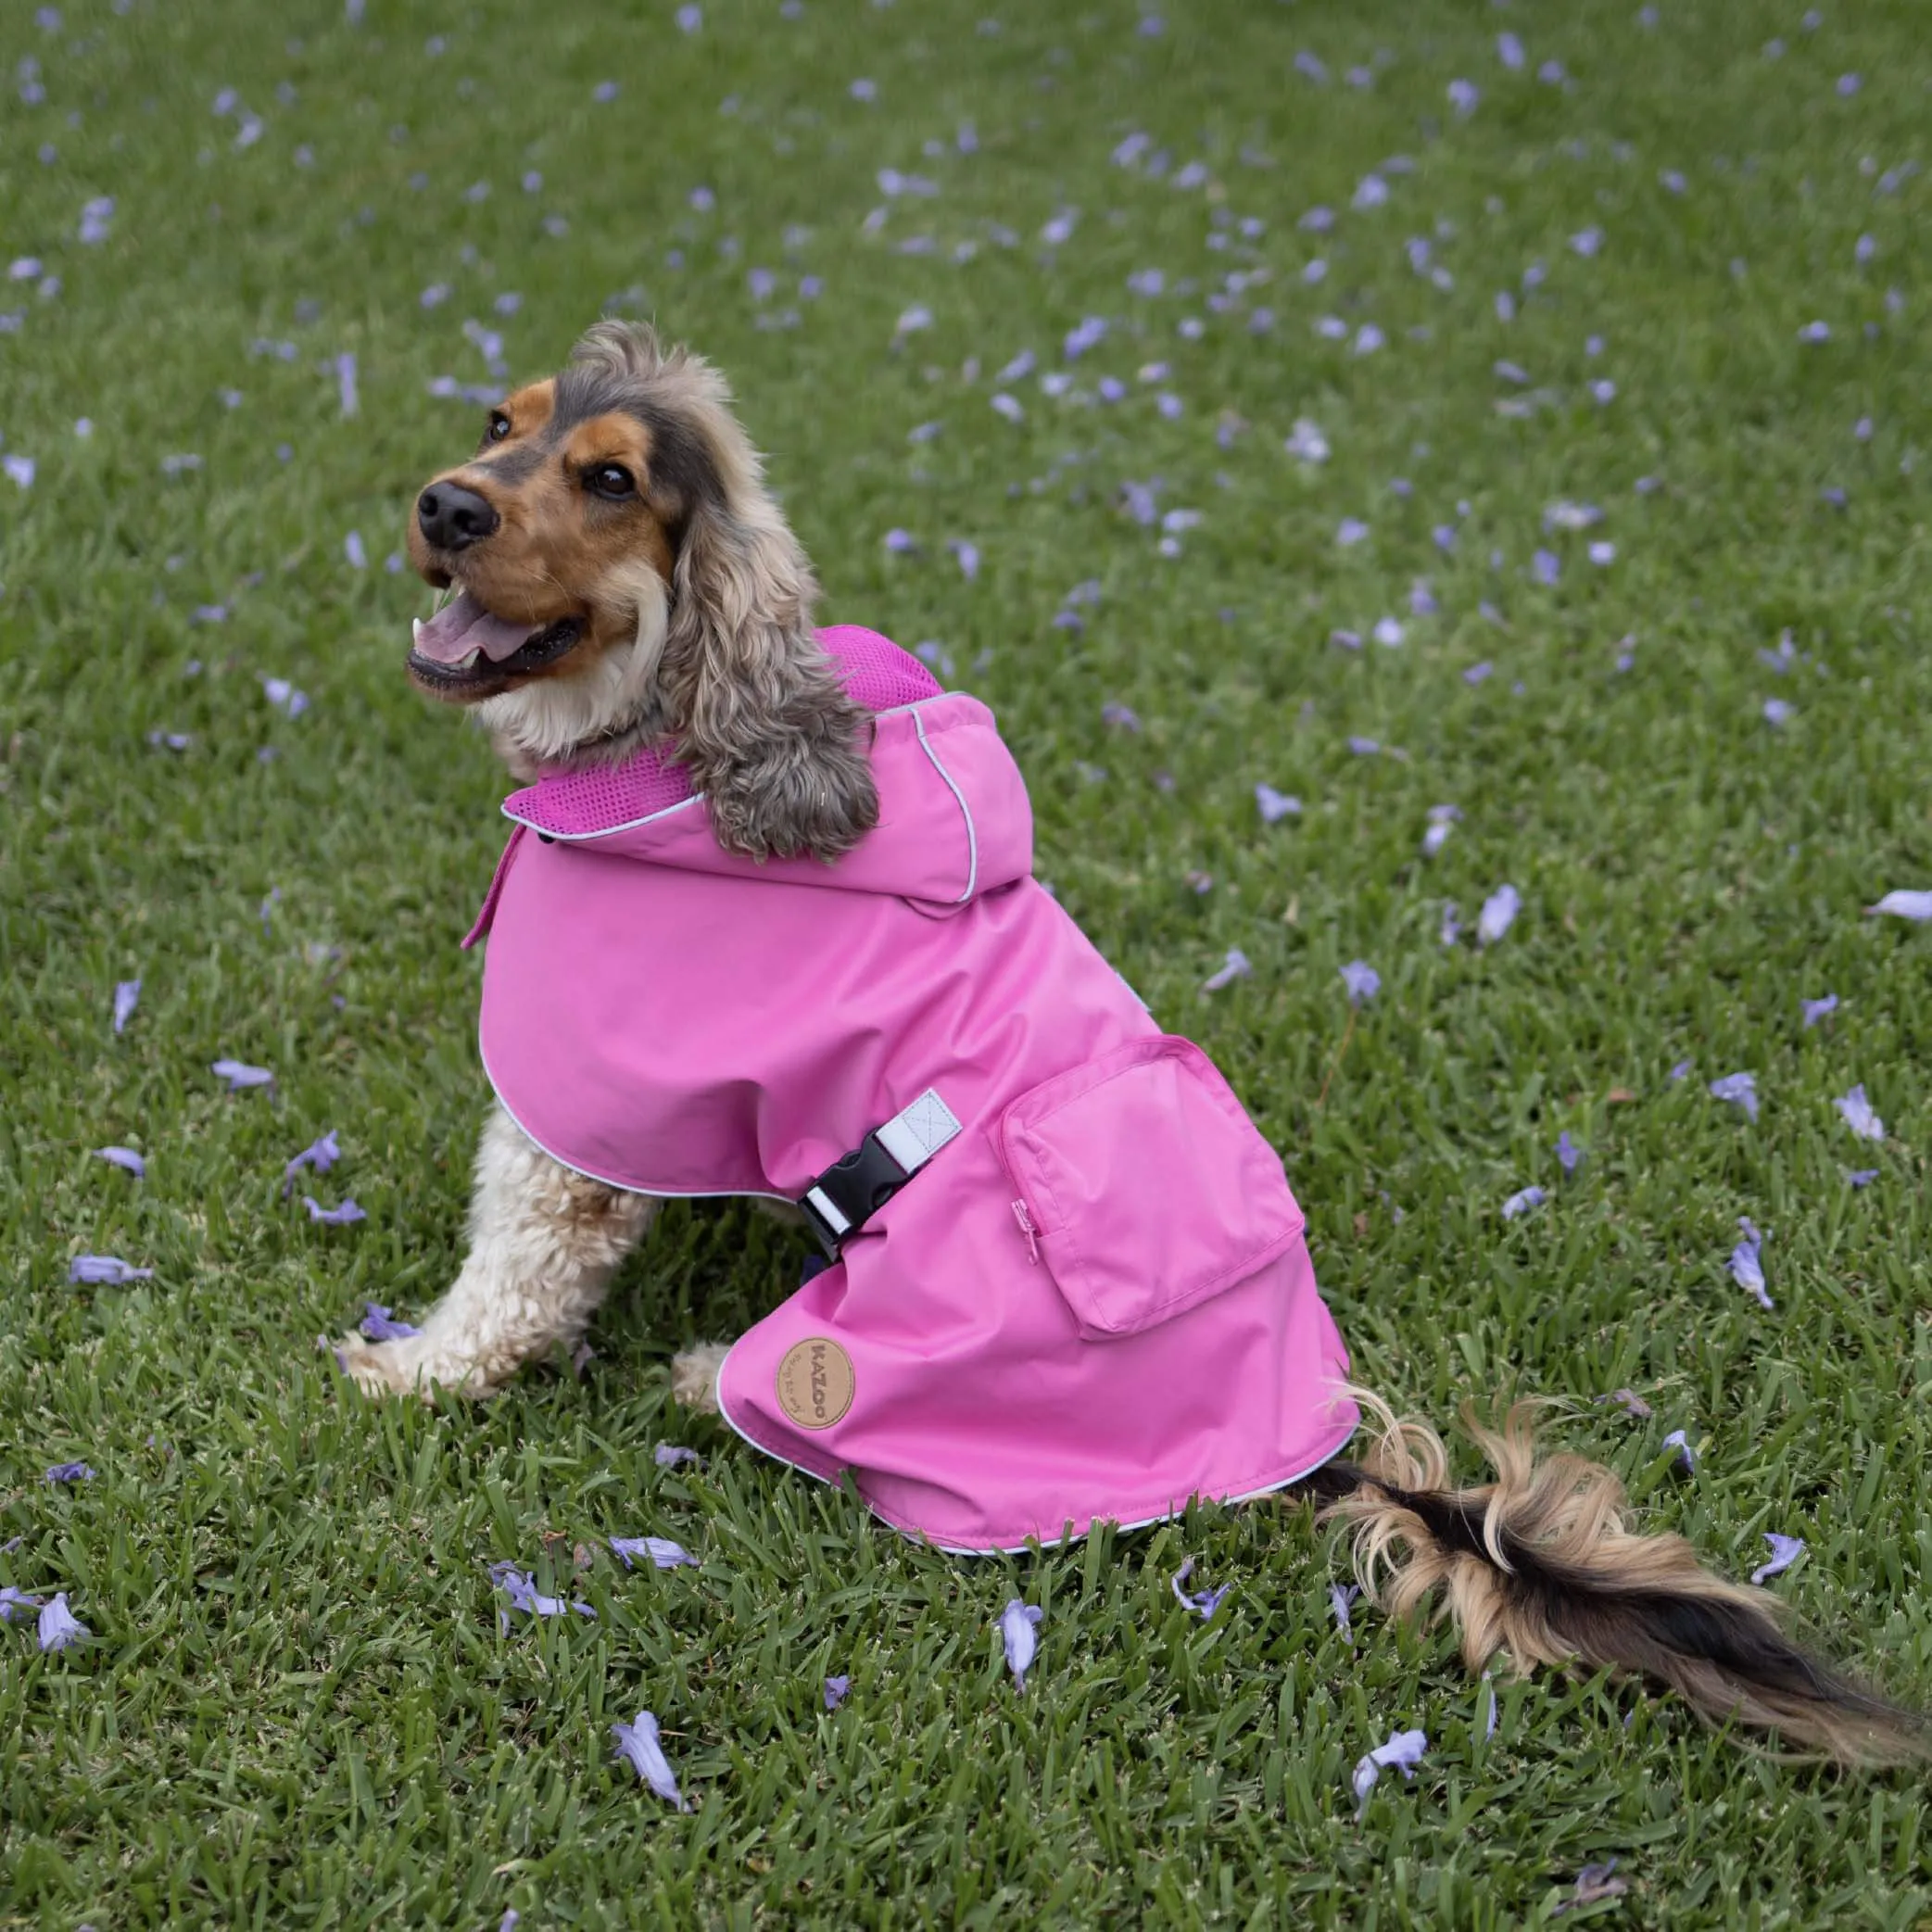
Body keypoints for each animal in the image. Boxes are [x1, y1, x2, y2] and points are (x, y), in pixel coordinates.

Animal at [339, 321, 1924, 1769]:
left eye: (610, 479)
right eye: (500, 420)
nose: (445, 506)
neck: (680, 745)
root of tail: (1329, 1454)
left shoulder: (566, 1121)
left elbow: (510, 1279)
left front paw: (405, 1371)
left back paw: (703, 1373)